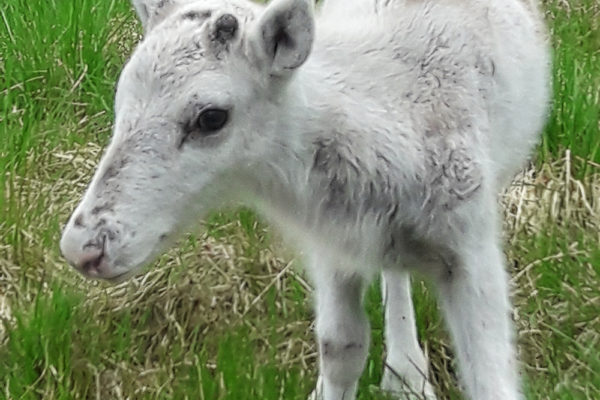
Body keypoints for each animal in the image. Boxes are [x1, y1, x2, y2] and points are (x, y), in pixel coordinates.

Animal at [59, 0, 548, 398]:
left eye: (211, 117)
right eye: (122, 97)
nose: (82, 249)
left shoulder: (470, 242)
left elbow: (488, 375)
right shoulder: (333, 244)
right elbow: (341, 347)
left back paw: (407, 373)